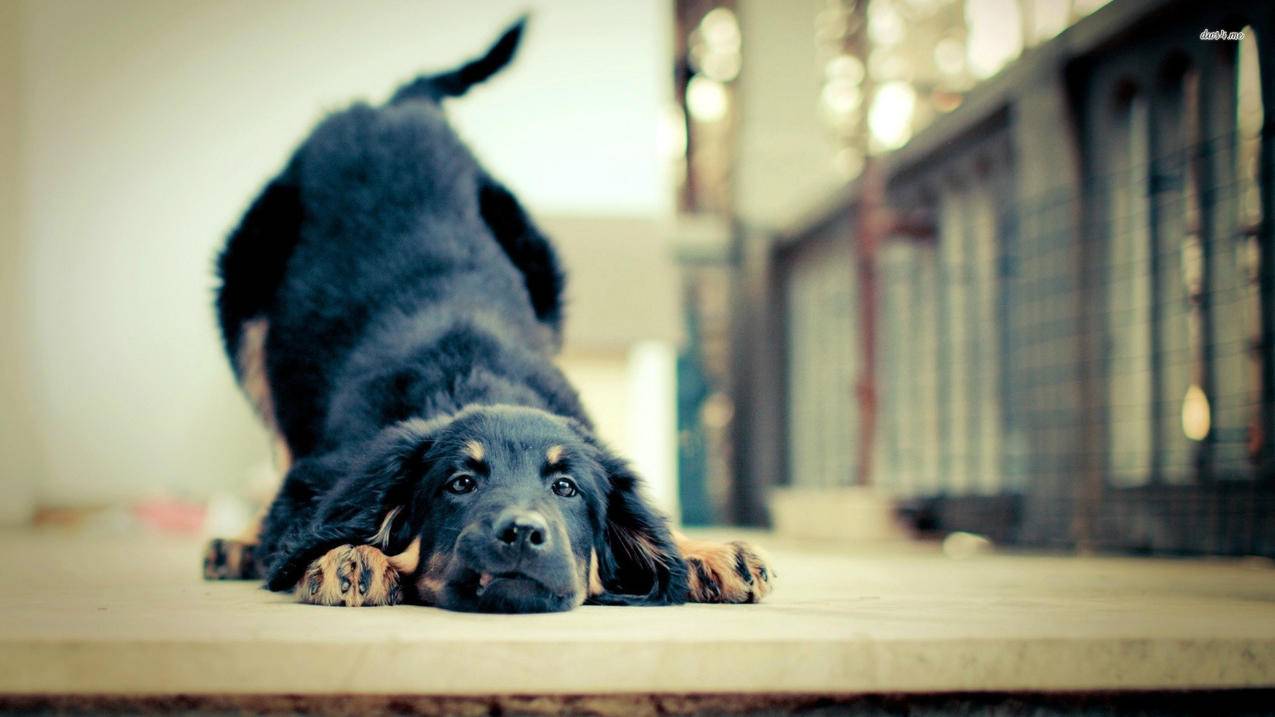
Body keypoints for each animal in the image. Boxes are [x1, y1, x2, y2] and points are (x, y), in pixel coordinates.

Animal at [204, 18, 770, 607]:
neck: (469, 380)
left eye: (566, 488)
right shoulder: (325, 470)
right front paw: (347, 553)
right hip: (245, 302)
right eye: (461, 483)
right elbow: (311, 511)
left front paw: (703, 551)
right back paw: (239, 543)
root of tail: (392, 107)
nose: (521, 531)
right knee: (277, 441)